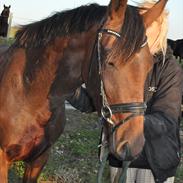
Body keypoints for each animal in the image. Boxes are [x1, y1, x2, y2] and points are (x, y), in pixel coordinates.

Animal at [0, 0, 168, 182]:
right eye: (110, 62)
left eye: (149, 65)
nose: (133, 145)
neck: (27, 95)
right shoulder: (2, 162)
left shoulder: (39, 158)